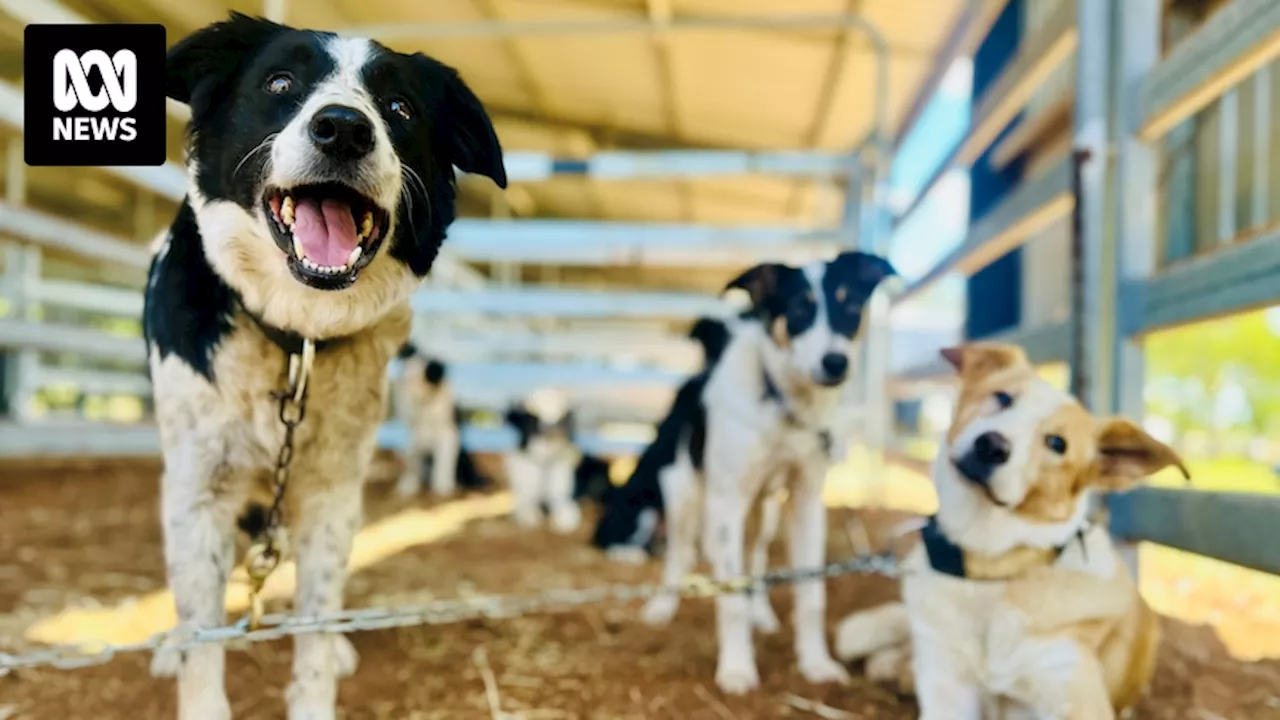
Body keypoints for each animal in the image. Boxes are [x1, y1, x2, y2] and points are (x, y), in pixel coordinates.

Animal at [391, 340, 486, 491]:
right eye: (406, 379)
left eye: (423, 381)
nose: (407, 397)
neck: (425, 405)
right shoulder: (413, 436)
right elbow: (413, 463)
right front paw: (409, 485)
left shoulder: (447, 433)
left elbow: (444, 461)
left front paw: (442, 486)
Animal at [501, 386, 583, 532]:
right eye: (532, 417)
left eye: (564, 417)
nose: (552, 429)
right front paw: (528, 517)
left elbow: (564, 505)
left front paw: (566, 520)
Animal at [634, 253, 896, 696]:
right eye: (799, 309)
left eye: (849, 307)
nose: (835, 362)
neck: (784, 406)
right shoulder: (725, 504)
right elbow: (730, 599)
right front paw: (737, 669)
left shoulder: (807, 503)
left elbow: (810, 595)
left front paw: (816, 664)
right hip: (685, 496)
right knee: (680, 555)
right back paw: (661, 608)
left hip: (764, 512)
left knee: (753, 561)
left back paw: (761, 614)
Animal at [829, 343, 1187, 717]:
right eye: (1002, 398)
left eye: (1057, 443)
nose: (992, 446)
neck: (988, 566)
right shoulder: (948, 689)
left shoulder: (1073, 694)